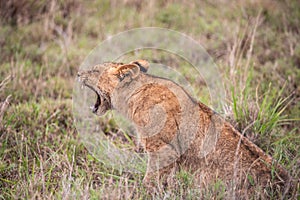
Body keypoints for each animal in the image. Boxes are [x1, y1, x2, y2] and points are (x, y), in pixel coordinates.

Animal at [78, 59, 290, 198]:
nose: (78, 74)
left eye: (95, 71)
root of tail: (285, 185)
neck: (133, 95)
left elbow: (150, 178)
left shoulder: (164, 149)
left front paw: (139, 193)